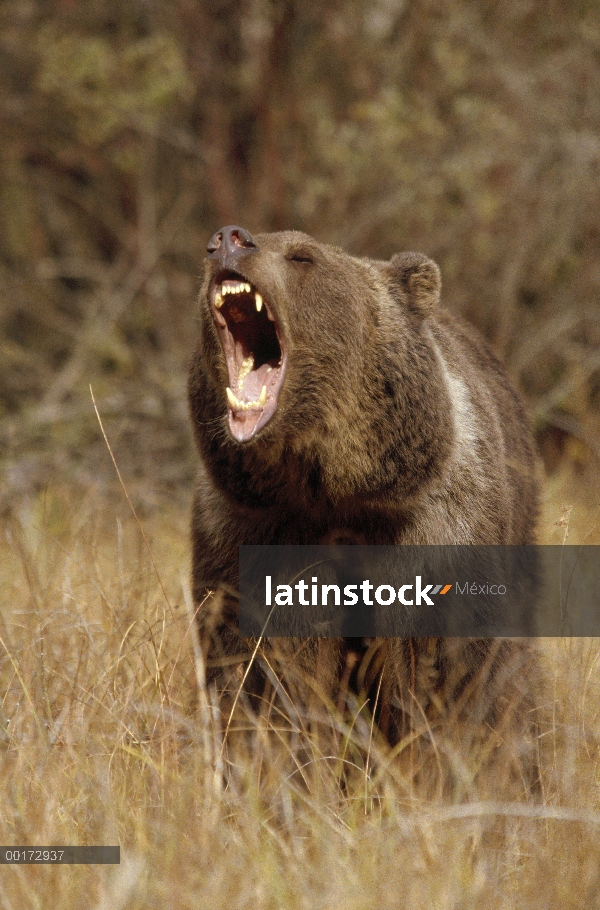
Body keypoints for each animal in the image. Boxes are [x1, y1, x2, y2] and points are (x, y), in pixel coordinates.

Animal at [188, 226, 540, 784]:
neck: (330, 491)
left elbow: (435, 671)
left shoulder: (437, 531)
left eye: (302, 256)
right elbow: (264, 670)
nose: (229, 238)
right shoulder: (252, 530)